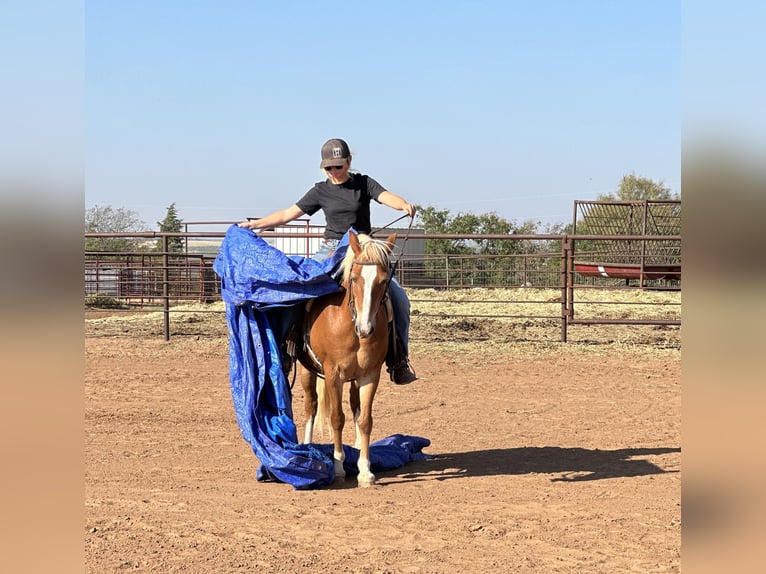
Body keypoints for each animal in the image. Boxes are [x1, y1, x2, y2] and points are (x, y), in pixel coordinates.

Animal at [296, 232, 400, 488]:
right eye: (354, 278)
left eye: (383, 280)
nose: (365, 328)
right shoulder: (334, 374)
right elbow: (336, 418)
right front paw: (338, 467)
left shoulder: (370, 375)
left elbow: (364, 420)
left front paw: (365, 470)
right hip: (307, 371)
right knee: (311, 405)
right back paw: (307, 445)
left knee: (355, 406)